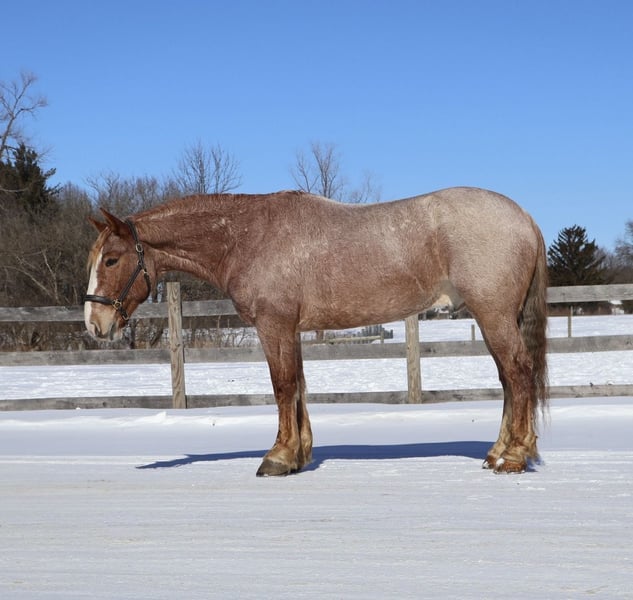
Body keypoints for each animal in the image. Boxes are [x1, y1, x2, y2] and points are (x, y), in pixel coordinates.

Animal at [84, 187, 548, 476]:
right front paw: (299, 454)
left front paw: (277, 457)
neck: (247, 236)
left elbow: (283, 386)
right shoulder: (291, 330)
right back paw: (497, 452)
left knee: (519, 372)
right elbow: (299, 389)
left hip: (494, 315)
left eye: (111, 259)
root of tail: (525, 218)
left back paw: (514, 456)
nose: (94, 324)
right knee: (509, 379)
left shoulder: (274, 326)